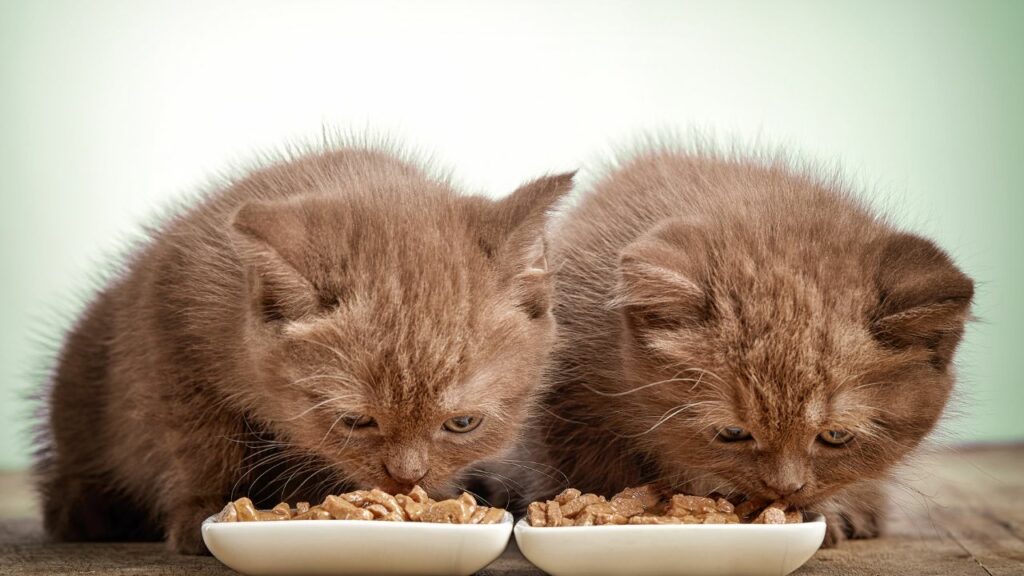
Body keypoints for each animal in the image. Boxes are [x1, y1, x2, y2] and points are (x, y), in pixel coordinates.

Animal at [34, 143, 577, 553]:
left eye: (463, 423)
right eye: (356, 420)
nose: (406, 477)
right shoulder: (170, 320)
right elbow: (200, 440)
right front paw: (202, 512)